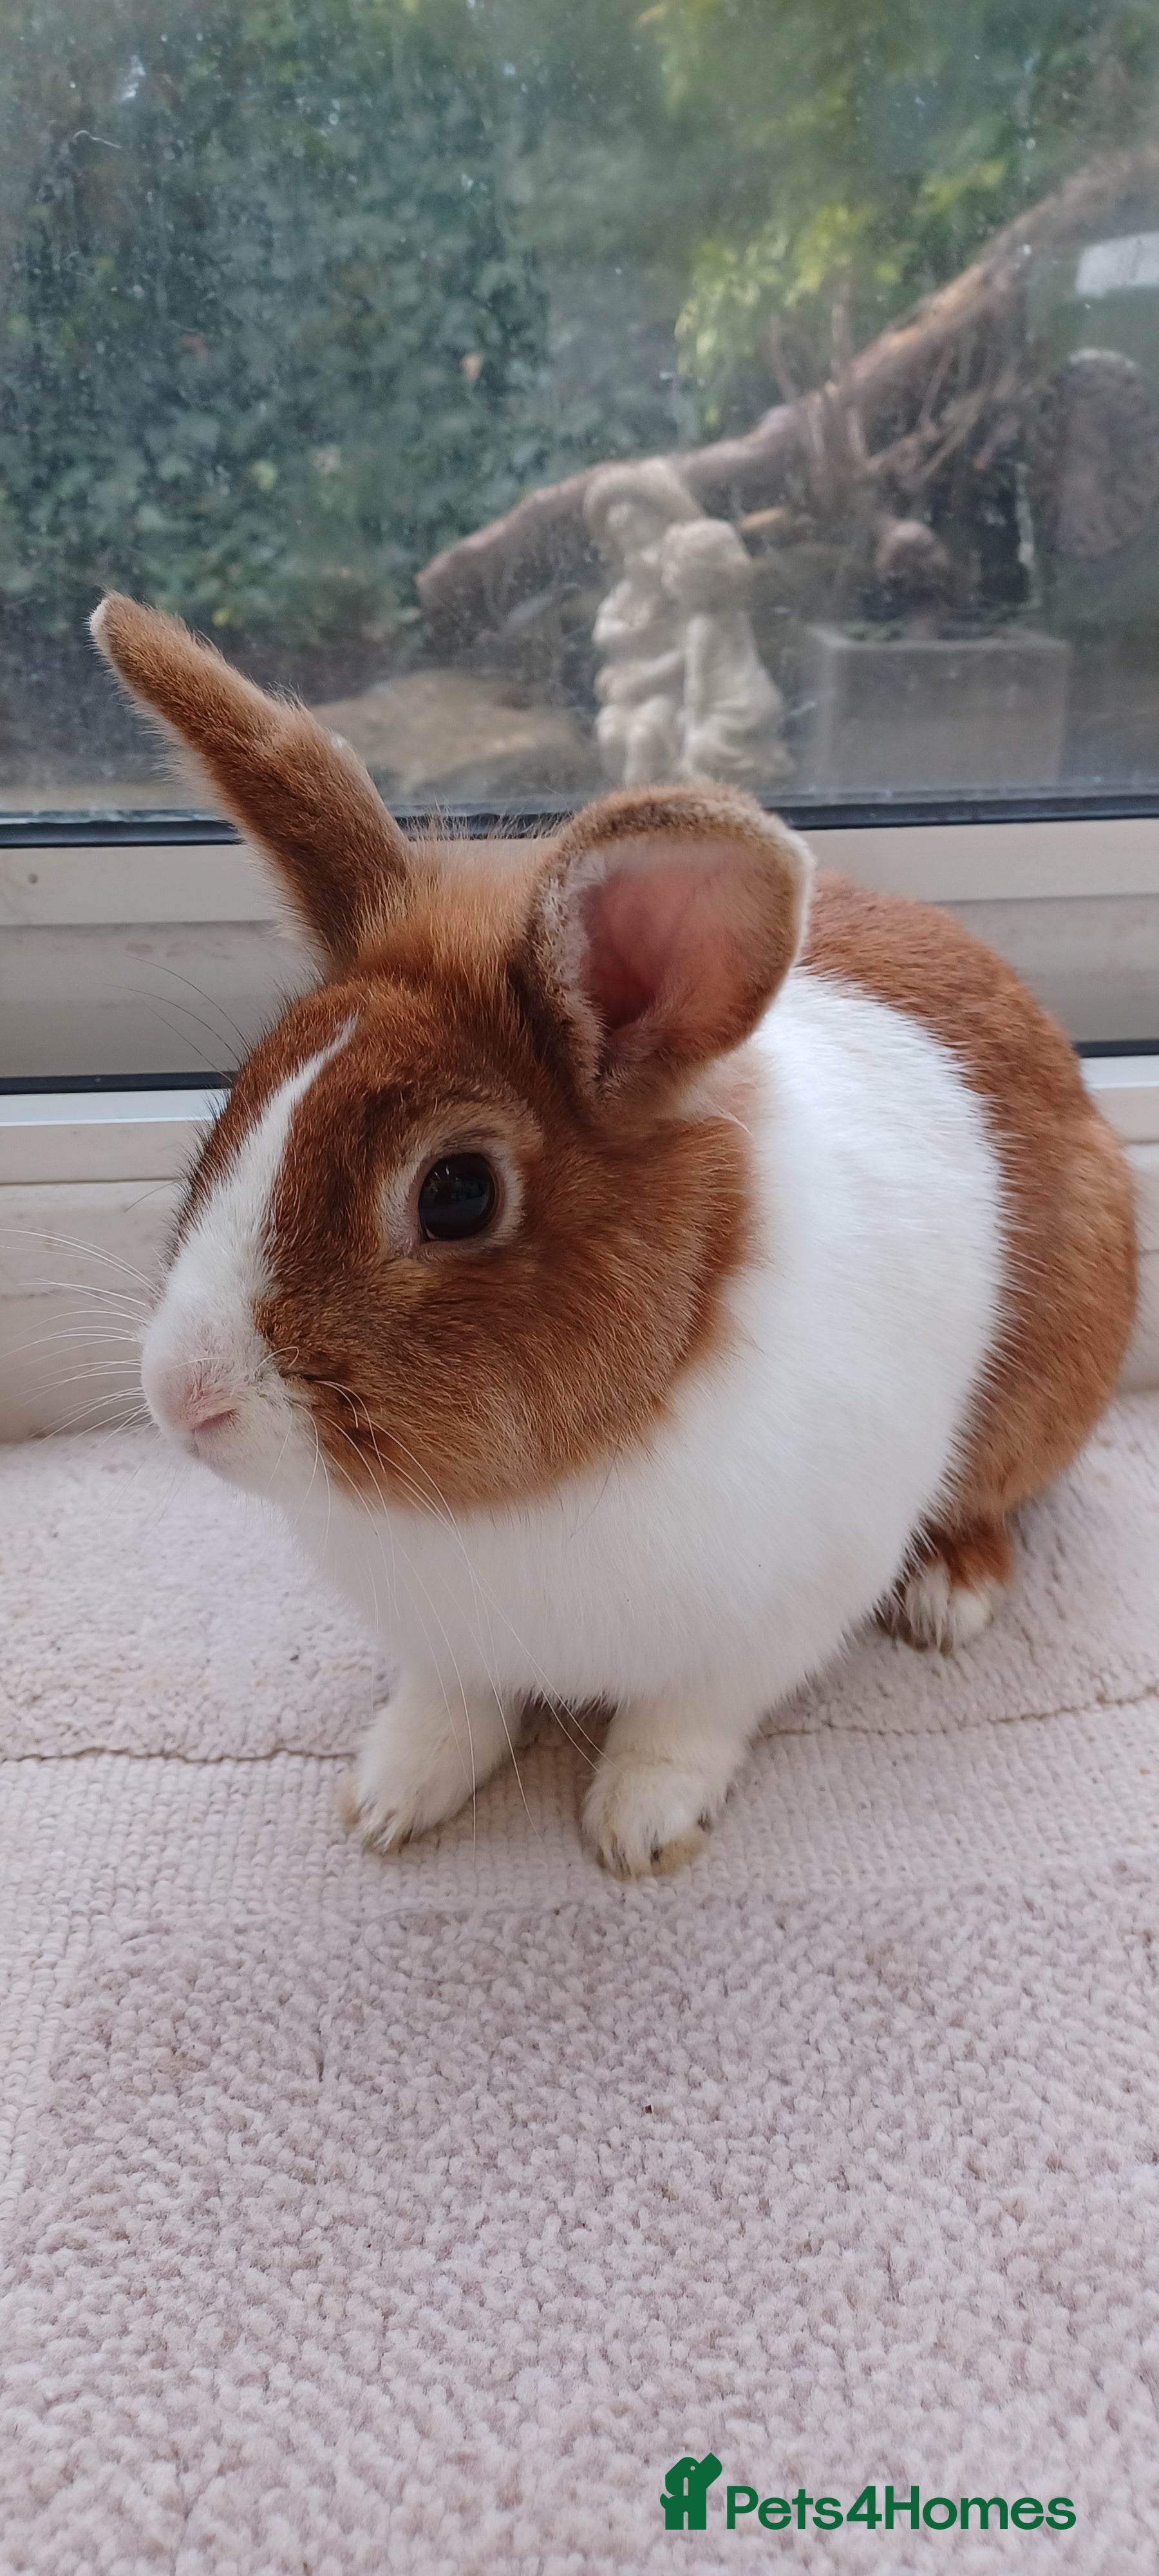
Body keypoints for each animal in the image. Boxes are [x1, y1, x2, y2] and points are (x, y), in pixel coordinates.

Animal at [91, 592, 1137, 1878]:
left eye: (456, 1194)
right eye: (238, 1104)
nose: (184, 1398)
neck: (529, 1488)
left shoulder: (772, 1619)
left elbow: (684, 1721)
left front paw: (639, 1831)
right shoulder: (449, 1646)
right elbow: (454, 1707)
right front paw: (388, 1801)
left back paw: (948, 1595)